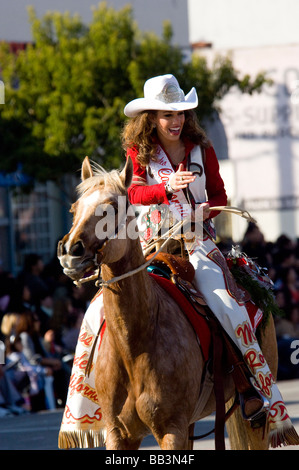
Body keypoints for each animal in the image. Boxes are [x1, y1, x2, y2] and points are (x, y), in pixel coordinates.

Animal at [58, 158, 278, 452]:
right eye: (74, 208)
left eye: (112, 207)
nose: (71, 251)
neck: (135, 341)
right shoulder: (118, 433)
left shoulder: (172, 430)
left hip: (254, 417)